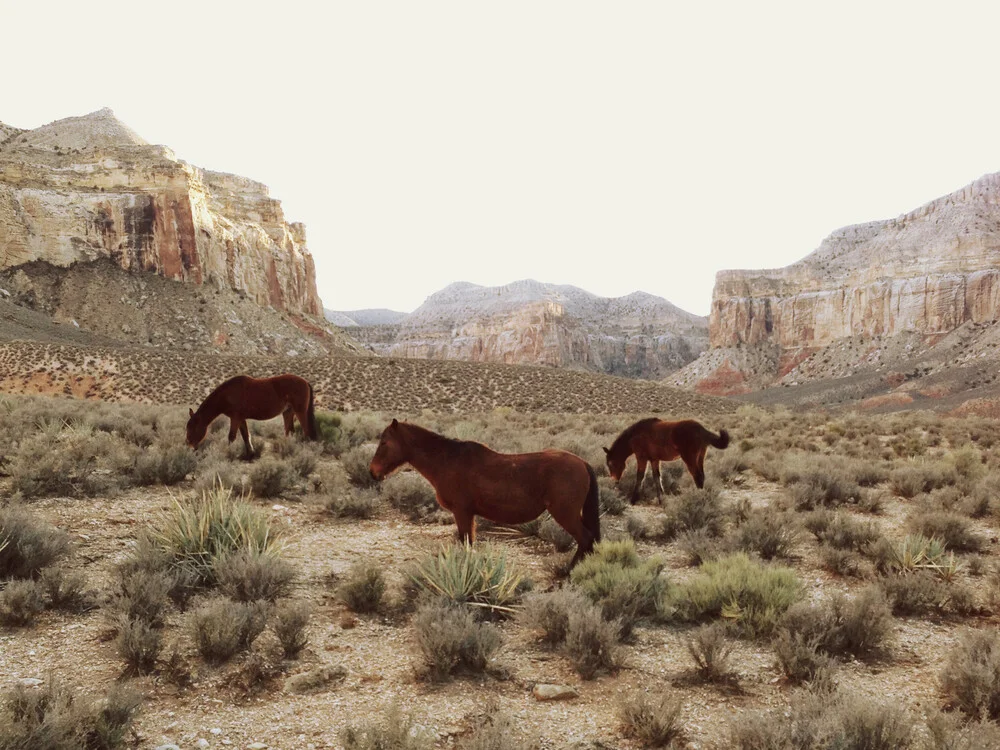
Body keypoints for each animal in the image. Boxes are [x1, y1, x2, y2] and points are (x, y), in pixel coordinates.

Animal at [185, 374, 316, 462]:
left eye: (194, 428)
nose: (189, 445)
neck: (227, 395)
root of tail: (305, 382)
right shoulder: (241, 419)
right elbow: (245, 436)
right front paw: (250, 454)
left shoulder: (235, 418)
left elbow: (231, 437)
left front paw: (228, 454)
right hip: (288, 412)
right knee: (290, 431)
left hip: (300, 412)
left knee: (306, 431)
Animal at [370, 420, 596, 568]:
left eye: (384, 442)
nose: (373, 472)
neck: (447, 461)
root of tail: (582, 463)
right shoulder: (468, 514)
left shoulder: (462, 512)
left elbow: (465, 541)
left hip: (565, 514)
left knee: (585, 539)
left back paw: (569, 572)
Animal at [604, 418, 732, 506]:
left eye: (610, 463)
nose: (614, 479)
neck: (635, 435)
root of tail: (701, 430)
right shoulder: (654, 460)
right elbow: (656, 477)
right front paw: (662, 499)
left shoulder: (641, 458)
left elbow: (640, 477)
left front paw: (633, 500)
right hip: (700, 458)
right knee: (702, 476)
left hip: (690, 459)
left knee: (698, 477)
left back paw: (698, 499)